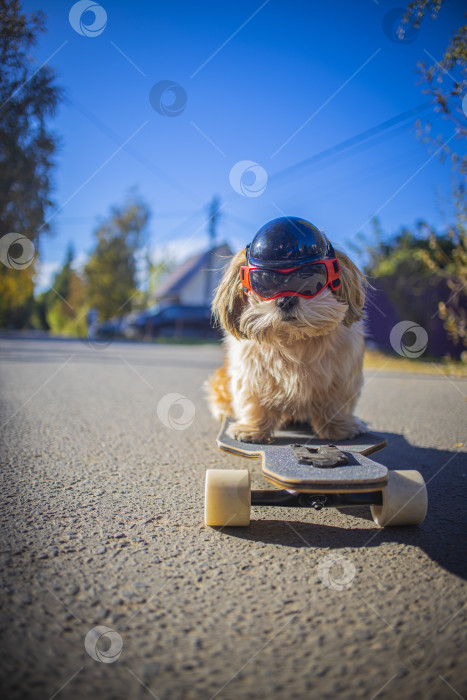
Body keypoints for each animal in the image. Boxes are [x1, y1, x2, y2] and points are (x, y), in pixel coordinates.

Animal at [207, 216, 368, 440]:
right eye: (265, 281)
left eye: (309, 278)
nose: (286, 299)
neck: (295, 339)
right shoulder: (250, 375)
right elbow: (253, 401)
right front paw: (252, 428)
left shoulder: (343, 377)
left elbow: (336, 403)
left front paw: (339, 427)